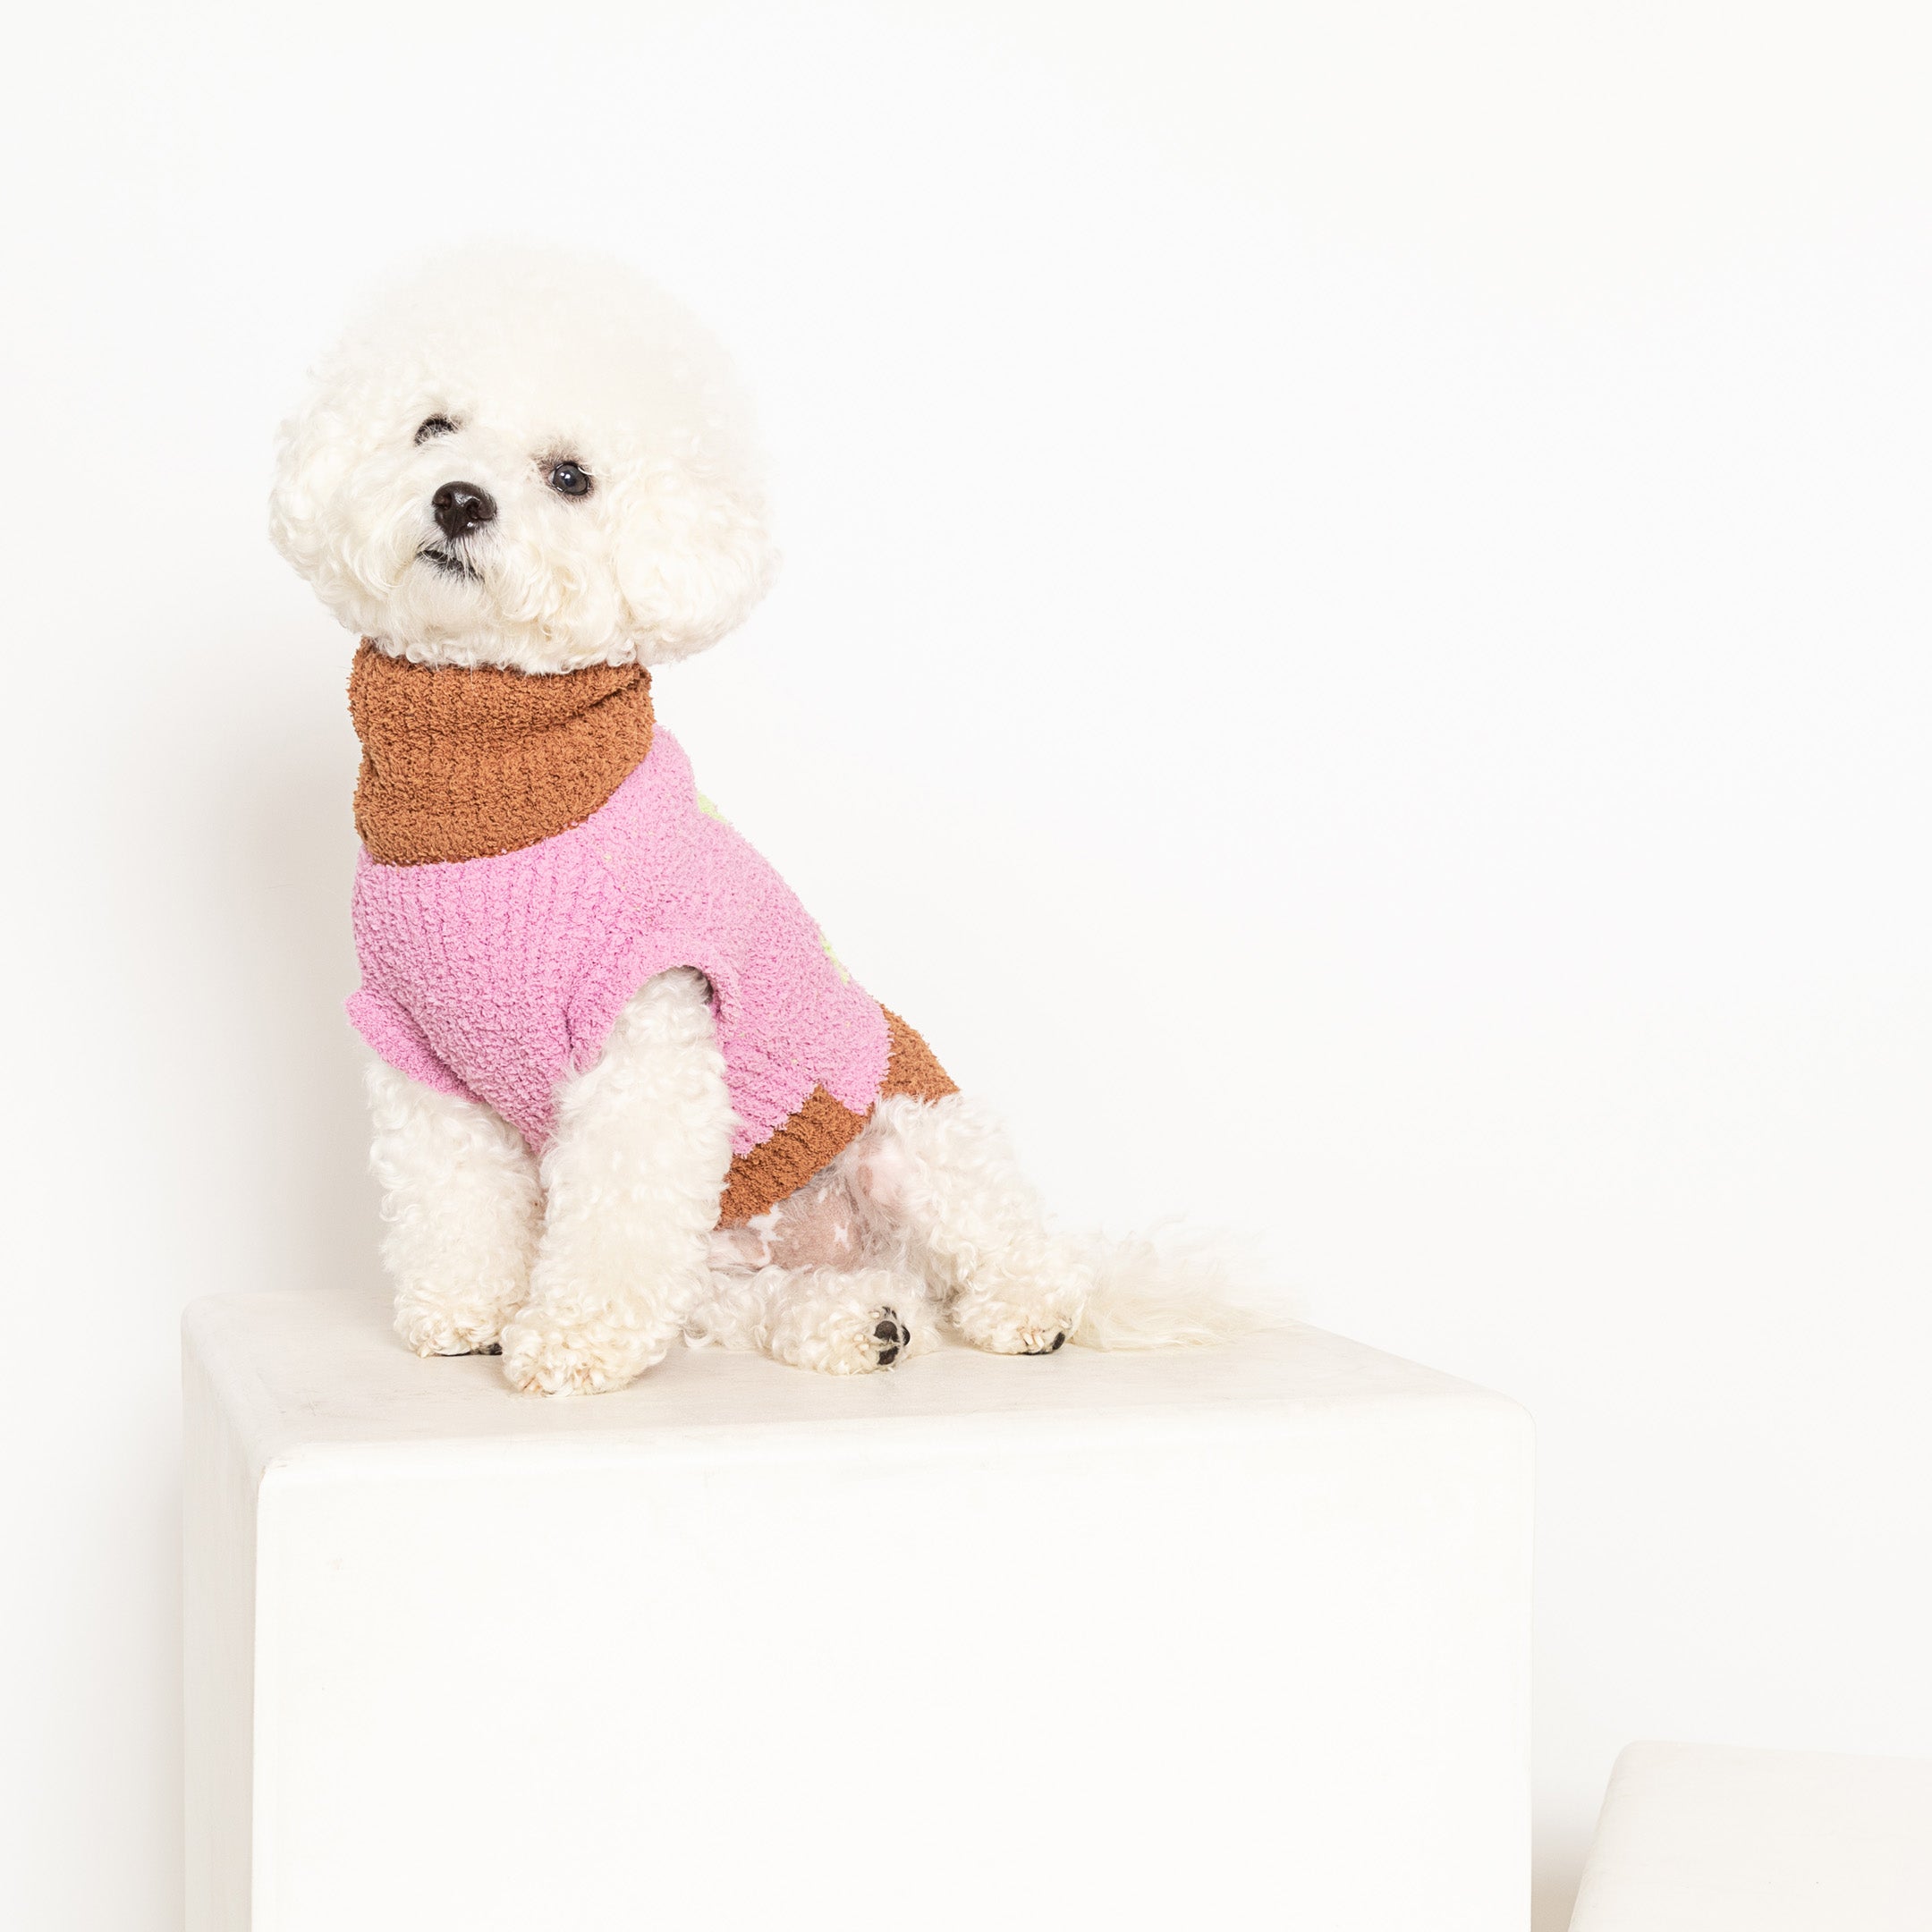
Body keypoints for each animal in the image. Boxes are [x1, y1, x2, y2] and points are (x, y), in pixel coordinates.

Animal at [270, 245, 1228, 1391]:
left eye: (569, 477)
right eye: (431, 428)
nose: (460, 501)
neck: (494, 786)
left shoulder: (647, 1035)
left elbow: (618, 1210)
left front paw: (573, 1339)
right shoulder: (420, 1056)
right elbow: (451, 1204)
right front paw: (465, 1312)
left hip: (913, 1132)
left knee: (1007, 1244)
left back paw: (1022, 1310)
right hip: (736, 1274)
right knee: (821, 1305)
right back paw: (858, 1325)